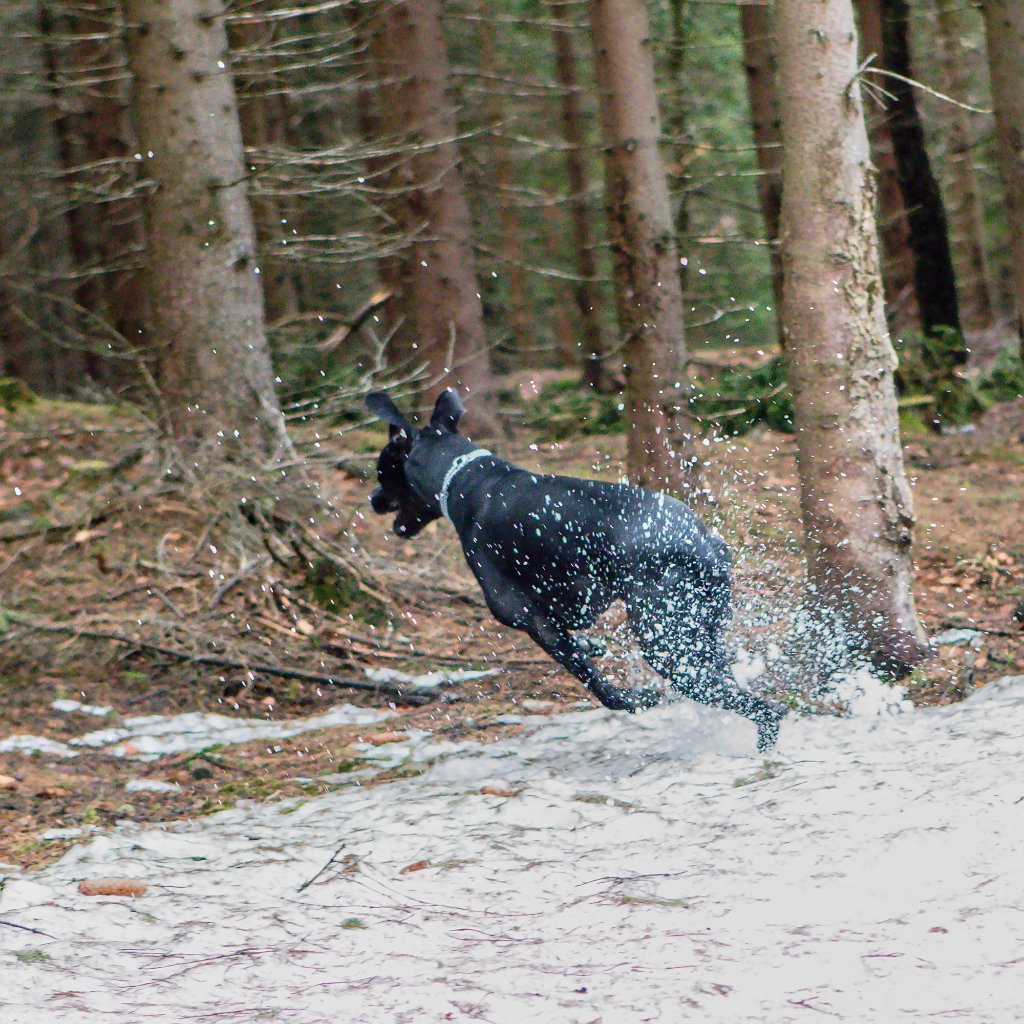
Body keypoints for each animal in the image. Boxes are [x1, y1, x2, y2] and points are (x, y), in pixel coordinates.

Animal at [366, 385, 782, 753]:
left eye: (382, 469)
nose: (372, 500)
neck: (467, 478)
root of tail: (699, 543)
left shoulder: (527, 618)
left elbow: (598, 685)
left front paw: (633, 698)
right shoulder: (575, 600)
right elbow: (578, 630)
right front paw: (592, 644)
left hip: (668, 645)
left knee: (766, 710)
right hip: (701, 634)